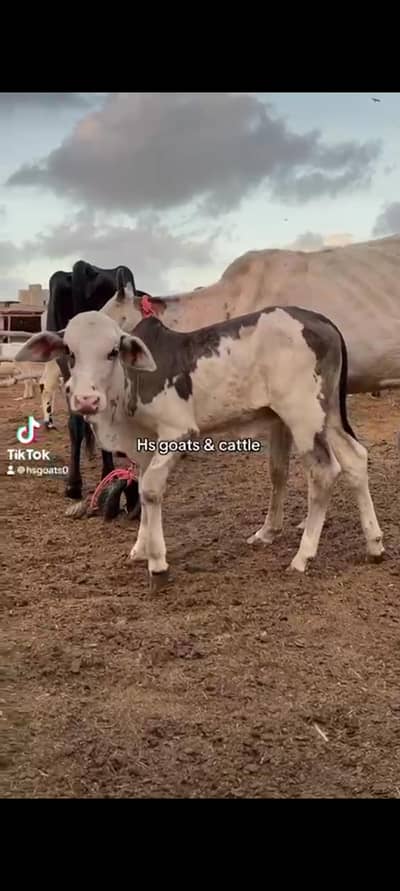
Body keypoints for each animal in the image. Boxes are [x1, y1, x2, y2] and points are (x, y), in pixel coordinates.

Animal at [16, 304, 385, 591]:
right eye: (70, 352)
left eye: (112, 352)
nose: (86, 400)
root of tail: (320, 320)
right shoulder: (144, 444)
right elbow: (142, 487)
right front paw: (140, 548)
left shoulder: (178, 432)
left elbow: (150, 490)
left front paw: (158, 565)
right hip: (327, 414)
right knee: (355, 459)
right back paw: (374, 544)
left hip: (303, 415)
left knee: (324, 471)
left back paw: (303, 556)